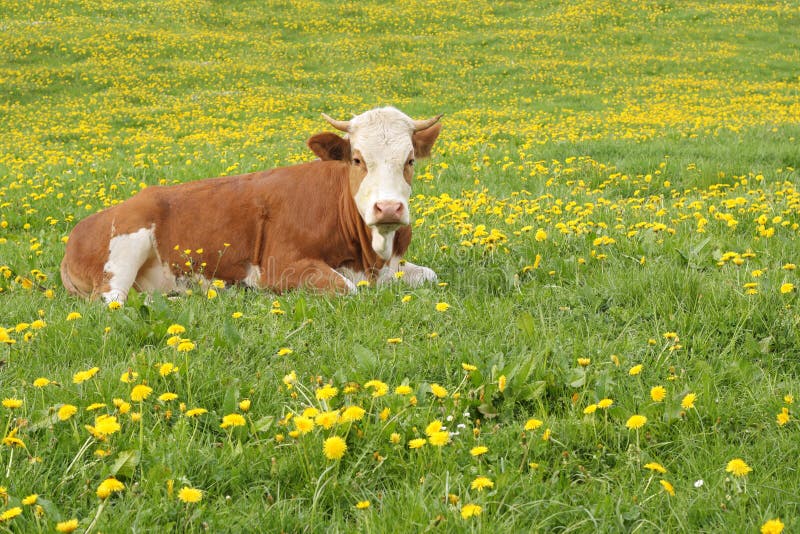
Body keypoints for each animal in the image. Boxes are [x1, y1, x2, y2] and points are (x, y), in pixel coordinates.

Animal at [61, 107, 444, 304]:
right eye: (357, 159)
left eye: (410, 159)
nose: (389, 208)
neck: (368, 257)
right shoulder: (281, 264)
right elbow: (345, 288)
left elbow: (430, 274)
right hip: (124, 248)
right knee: (111, 300)